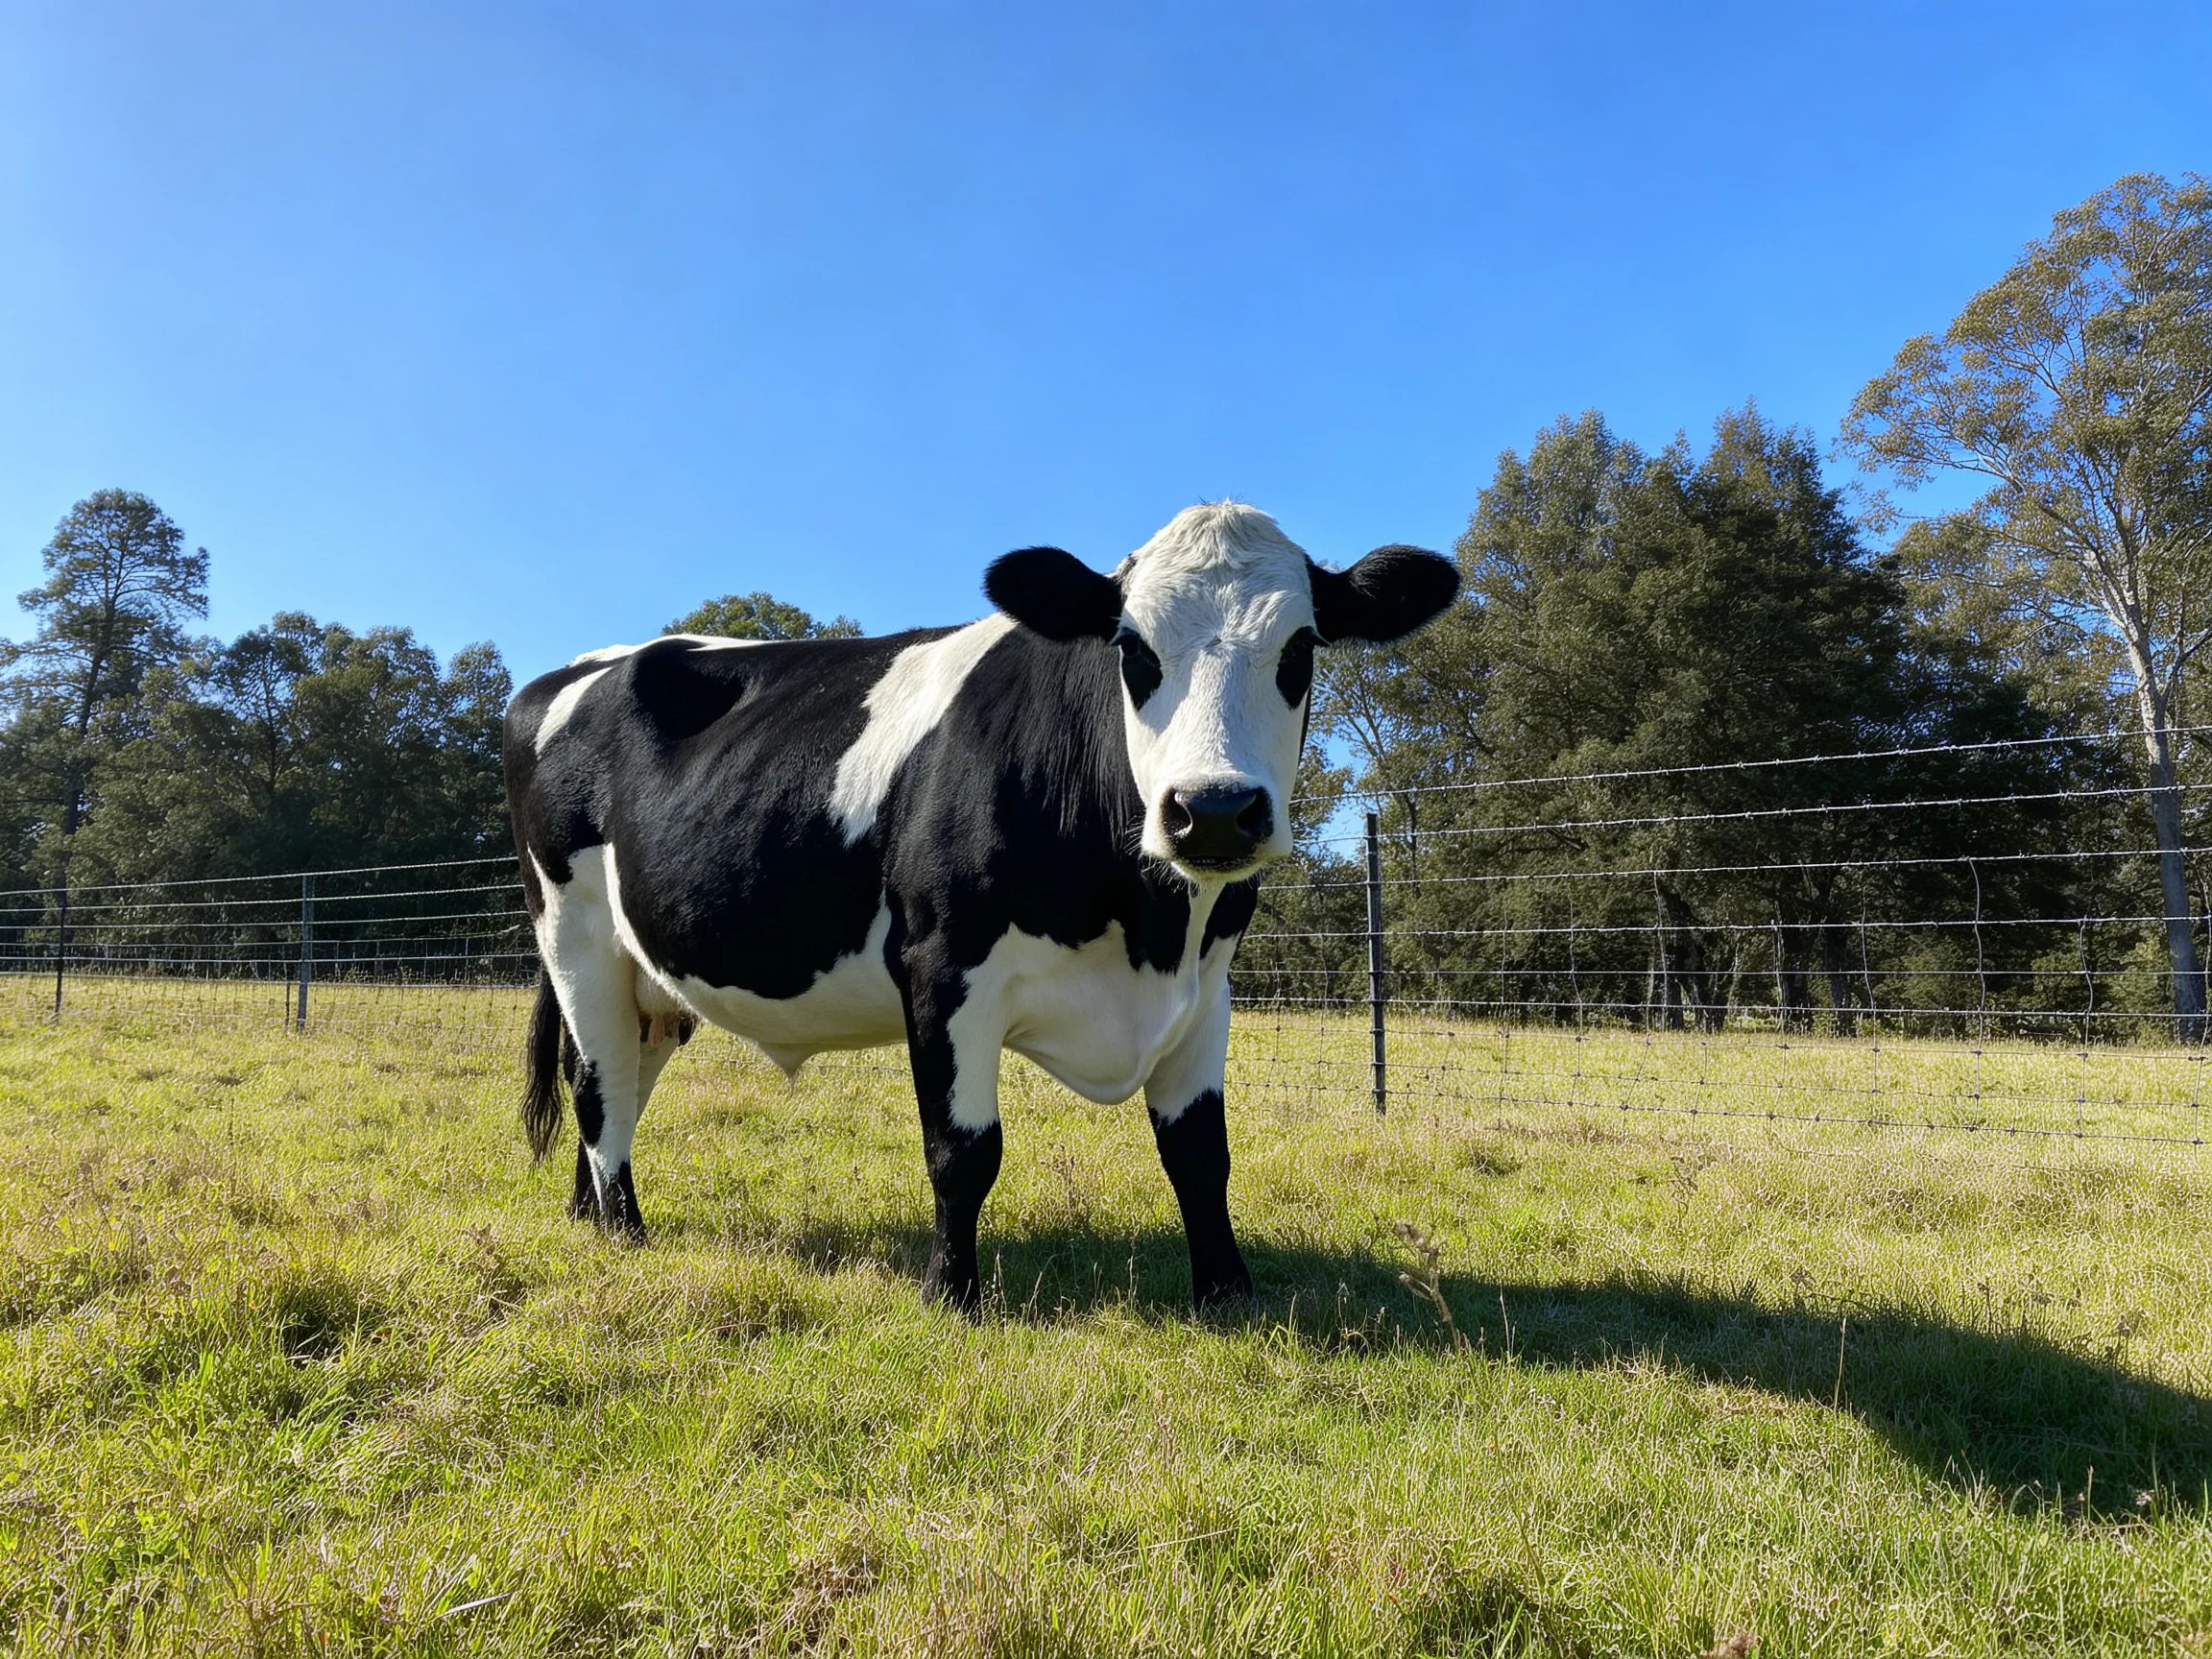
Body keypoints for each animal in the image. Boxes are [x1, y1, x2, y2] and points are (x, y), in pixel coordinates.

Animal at [503, 502, 1458, 1310]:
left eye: (1300, 649)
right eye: (1133, 650)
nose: (1214, 808)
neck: (1147, 931)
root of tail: (578, 668)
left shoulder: (1208, 983)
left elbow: (1199, 1152)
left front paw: (1227, 1290)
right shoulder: (942, 966)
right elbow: (964, 1149)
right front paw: (950, 1293)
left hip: (648, 975)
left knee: (619, 1075)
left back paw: (589, 1217)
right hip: (573, 933)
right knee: (598, 1084)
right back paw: (627, 1230)